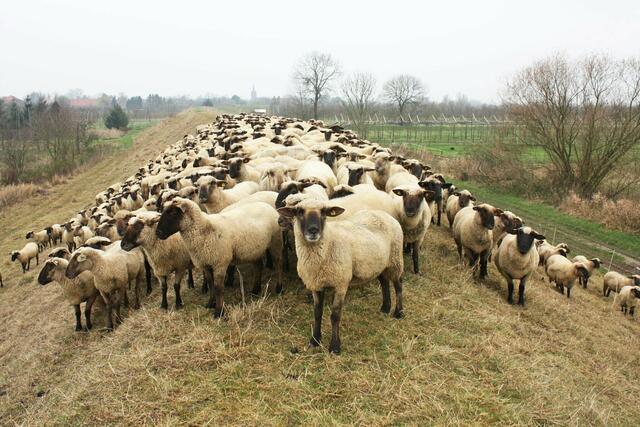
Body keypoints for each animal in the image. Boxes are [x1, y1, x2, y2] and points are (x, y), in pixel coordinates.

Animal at [277, 199, 404, 354]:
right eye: (299, 211)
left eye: (324, 212)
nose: (313, 230)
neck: (327, 244)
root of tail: (385, 214)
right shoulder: (316, 284)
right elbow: (317, 313)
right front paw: (315, 340)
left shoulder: (341, 284)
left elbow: (335, 316)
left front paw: (335, 347)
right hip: (379, 263)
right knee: (384, 282)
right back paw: (385, 308)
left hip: (395, 259)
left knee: (398, 285)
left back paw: (398, 312)